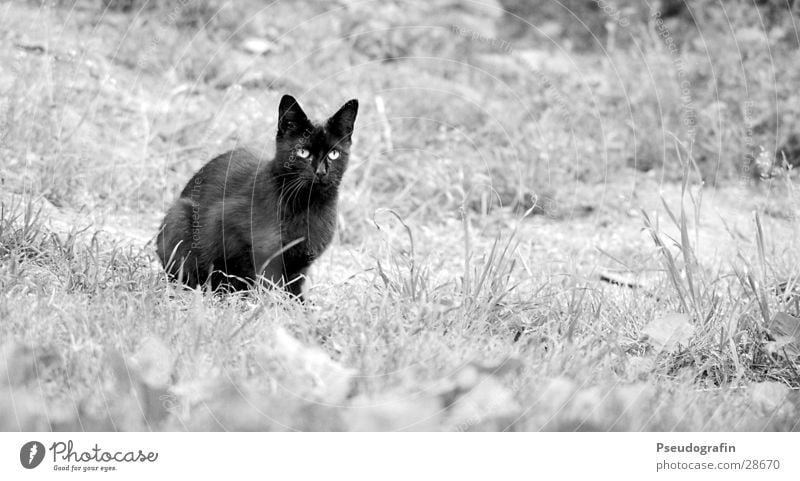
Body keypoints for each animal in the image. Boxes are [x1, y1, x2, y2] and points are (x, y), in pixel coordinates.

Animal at [156, 94, 356, 298]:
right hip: (179, 216)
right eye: (303, 152)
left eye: (334, 154)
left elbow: (293, 287)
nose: (321, 172)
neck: (307, 206)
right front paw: (256, 300)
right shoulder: (225, 226)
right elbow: (251, 275)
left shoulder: (301, 261)